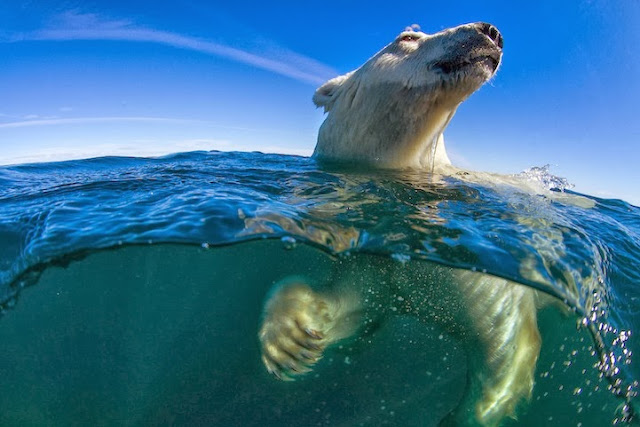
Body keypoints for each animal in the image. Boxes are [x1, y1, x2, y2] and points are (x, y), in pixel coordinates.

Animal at [260, 24, 540, 427]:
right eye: (407, 37)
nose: (490, 31)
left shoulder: (492, 283)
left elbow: (507, 352)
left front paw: (463, 415)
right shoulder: (376, 265)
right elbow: (354, 305)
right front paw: (289, 341)